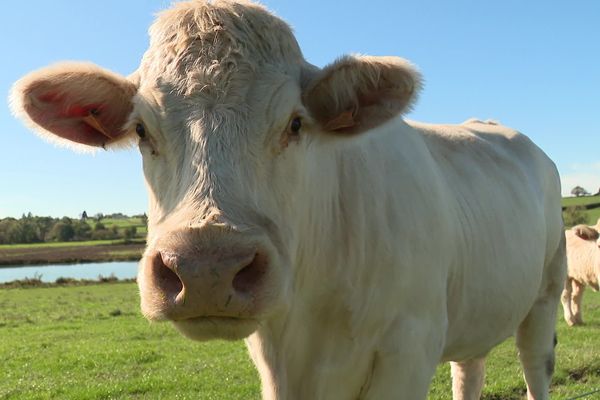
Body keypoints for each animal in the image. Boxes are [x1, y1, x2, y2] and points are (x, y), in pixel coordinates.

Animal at [10, 1, 568, 398]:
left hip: (546, 293)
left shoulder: (409, 347)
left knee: (535, 367)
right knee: (469, 371)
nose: (206, 269)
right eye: (143, 130)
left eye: (296, 123)